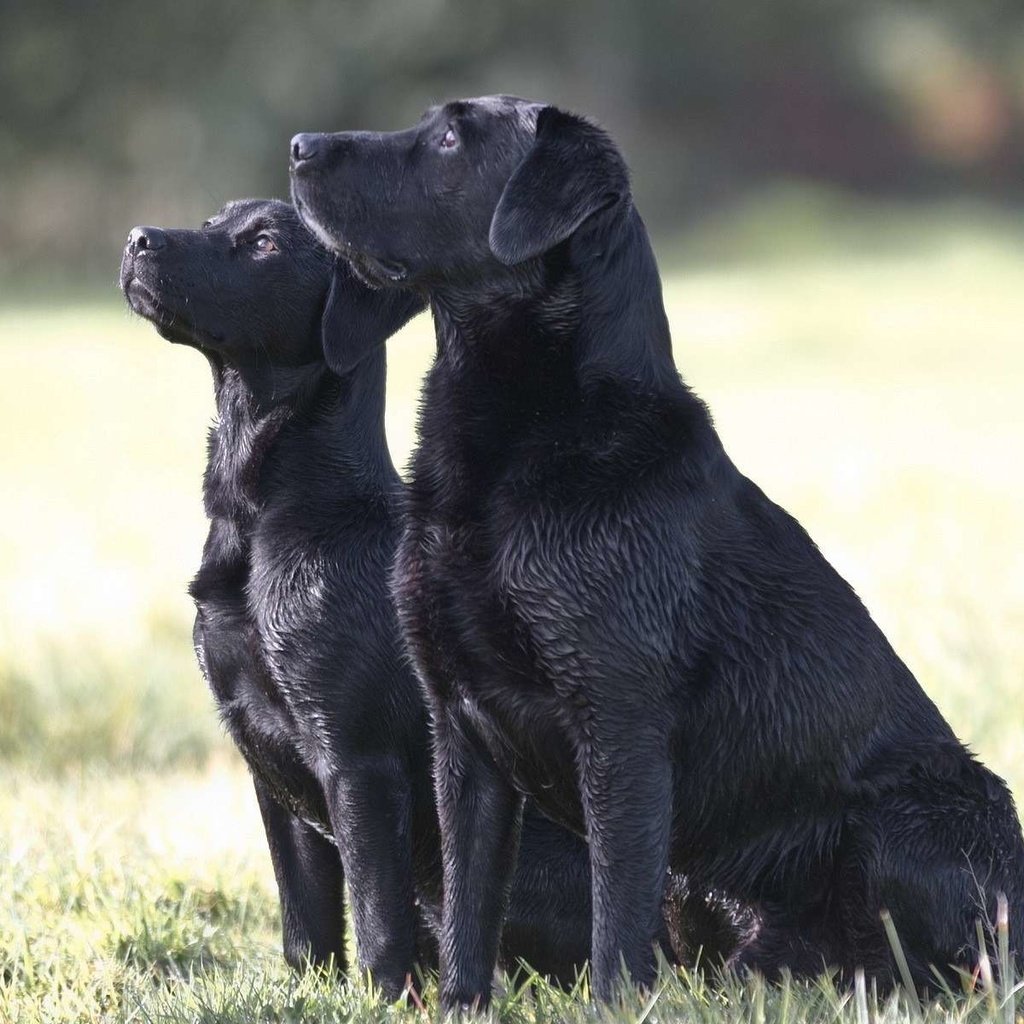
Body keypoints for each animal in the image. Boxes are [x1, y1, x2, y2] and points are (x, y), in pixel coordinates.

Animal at [117, 199, 598, 999]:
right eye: (215, 220)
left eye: (264, 243)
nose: (136, 239)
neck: (268, 519)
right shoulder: (268, 763)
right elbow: (305, 924)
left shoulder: (357, 761)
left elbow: (374, 922)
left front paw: (379, 1001)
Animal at [288, 97, 1024, 1007]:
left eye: (452, 137)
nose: (299, 147)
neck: (521, 451)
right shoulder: (458, 725)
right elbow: (467, 900)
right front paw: (461, 1004)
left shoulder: (619, 716)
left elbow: (615, 903)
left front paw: (612, 1006)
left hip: (913, 817)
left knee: (951, 964)